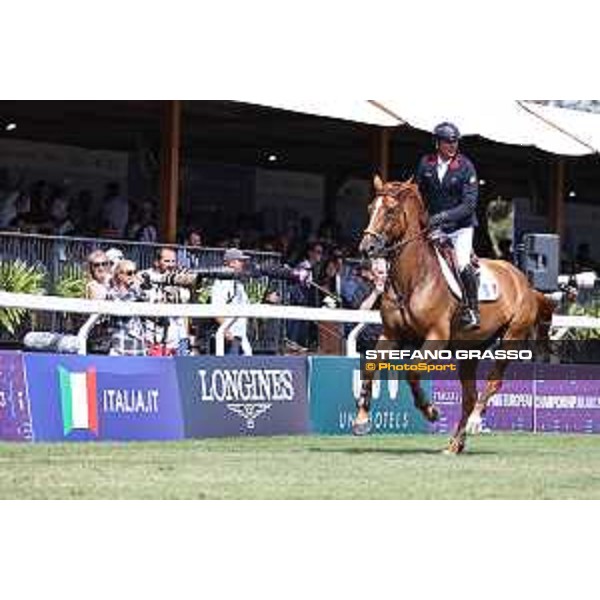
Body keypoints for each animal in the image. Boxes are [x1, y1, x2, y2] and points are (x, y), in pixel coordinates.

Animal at [352, 176, 552, 452]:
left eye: (391, 211)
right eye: (371, 208)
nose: (367, 248)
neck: (413, 278)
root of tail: (525, 282)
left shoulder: (436, 336)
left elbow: (412, 371)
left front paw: (430, 410)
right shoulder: (391, 333)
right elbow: (371, 365)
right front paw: (361, 419)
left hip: (511, 338)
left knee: (493, 382)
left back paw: (475, 421)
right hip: (470, 350)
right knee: (469, 396)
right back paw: (455, 443)